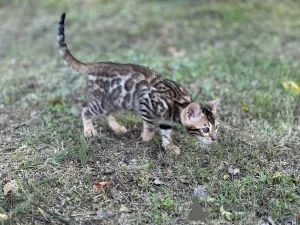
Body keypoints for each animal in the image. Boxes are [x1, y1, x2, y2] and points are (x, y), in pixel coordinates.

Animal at [56, 13, 220, 156]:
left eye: (216, 127)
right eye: (205, 129)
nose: (214, 139)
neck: (177, 103)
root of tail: (96, 64)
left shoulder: (166, 121)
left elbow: (166, 133)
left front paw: (169, 146)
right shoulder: (145, 101)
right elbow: (149, 124)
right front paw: (147, 136)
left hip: (113, 100)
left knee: (108, 113)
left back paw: (117, 127)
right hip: (101, 102)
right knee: (85, 108)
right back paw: (89, 130)